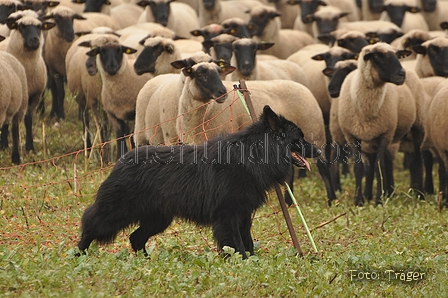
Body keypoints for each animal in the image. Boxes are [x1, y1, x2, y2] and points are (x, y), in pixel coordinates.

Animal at [4, 11, 55, 152]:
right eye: (21, 26)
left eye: (40, 26)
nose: (34, 40)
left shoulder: (35, 95)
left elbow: (28, 119)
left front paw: (30, 146)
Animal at [79, 105, 320, 258]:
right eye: (299, 139)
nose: (319, 152)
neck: (253, 154)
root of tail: (122, 160)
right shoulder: (227, 216)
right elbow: (236, 245)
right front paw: (241, 262)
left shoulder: (243, 216)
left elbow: (248, 243)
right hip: (118, 211)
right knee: (90, 222)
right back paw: (79, 254)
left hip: (158, 218)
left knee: (136, 238)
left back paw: (147, 262)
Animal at [336, 42, 428, 205]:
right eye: (378, 56)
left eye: (397, 55)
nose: (401, 74)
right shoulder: (352, 136)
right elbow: (360, 168)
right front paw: (359, 200)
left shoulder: (385, 135)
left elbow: (379, 167)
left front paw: (379, 200)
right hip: (372, 139)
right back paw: (375, 194)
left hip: (418, 125)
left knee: (417, 159)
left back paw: (420, 194)